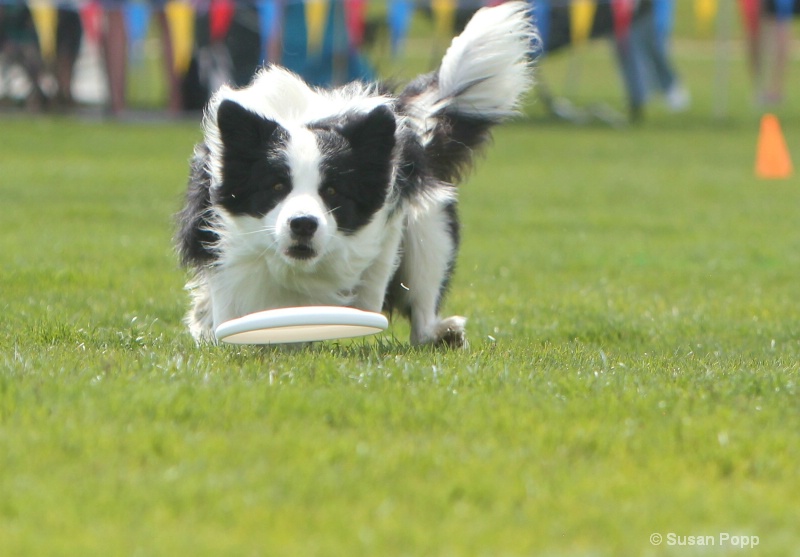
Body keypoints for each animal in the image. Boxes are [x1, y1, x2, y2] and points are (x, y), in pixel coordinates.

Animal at [177, 2, 536, 346]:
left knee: (423, 294)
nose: (303, 224)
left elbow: (368, 289)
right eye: (276, 186)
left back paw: (439, 334)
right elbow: (231, 300)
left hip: (430, 228)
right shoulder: (218, 240)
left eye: (333, 191)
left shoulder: (387, 223)